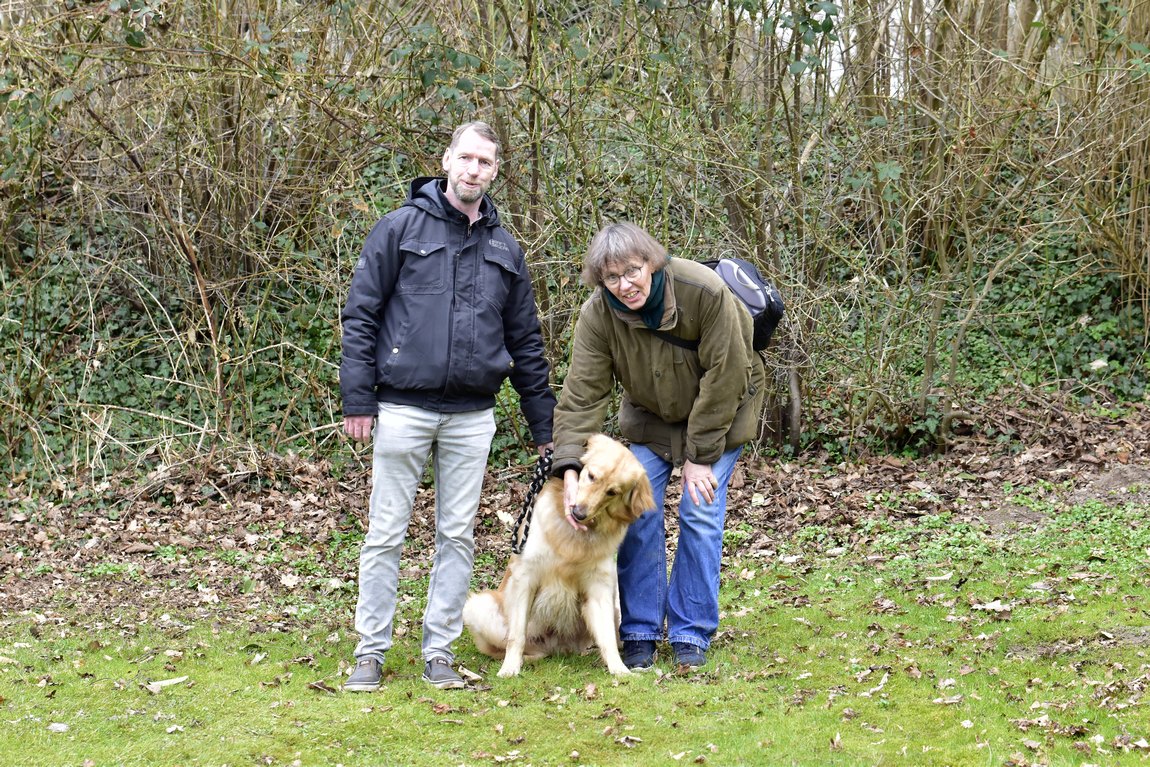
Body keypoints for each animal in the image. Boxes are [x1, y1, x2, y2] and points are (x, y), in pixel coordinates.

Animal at [464, 434, 655, 677]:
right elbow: (516, 636)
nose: (578, 513)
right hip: (479, 606)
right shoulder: (525, 577)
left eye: (612, 492)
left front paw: (619, 670)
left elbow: (608, 638)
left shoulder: (599, 586)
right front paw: (510, 668)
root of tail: (559, 648)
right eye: (591, 476)